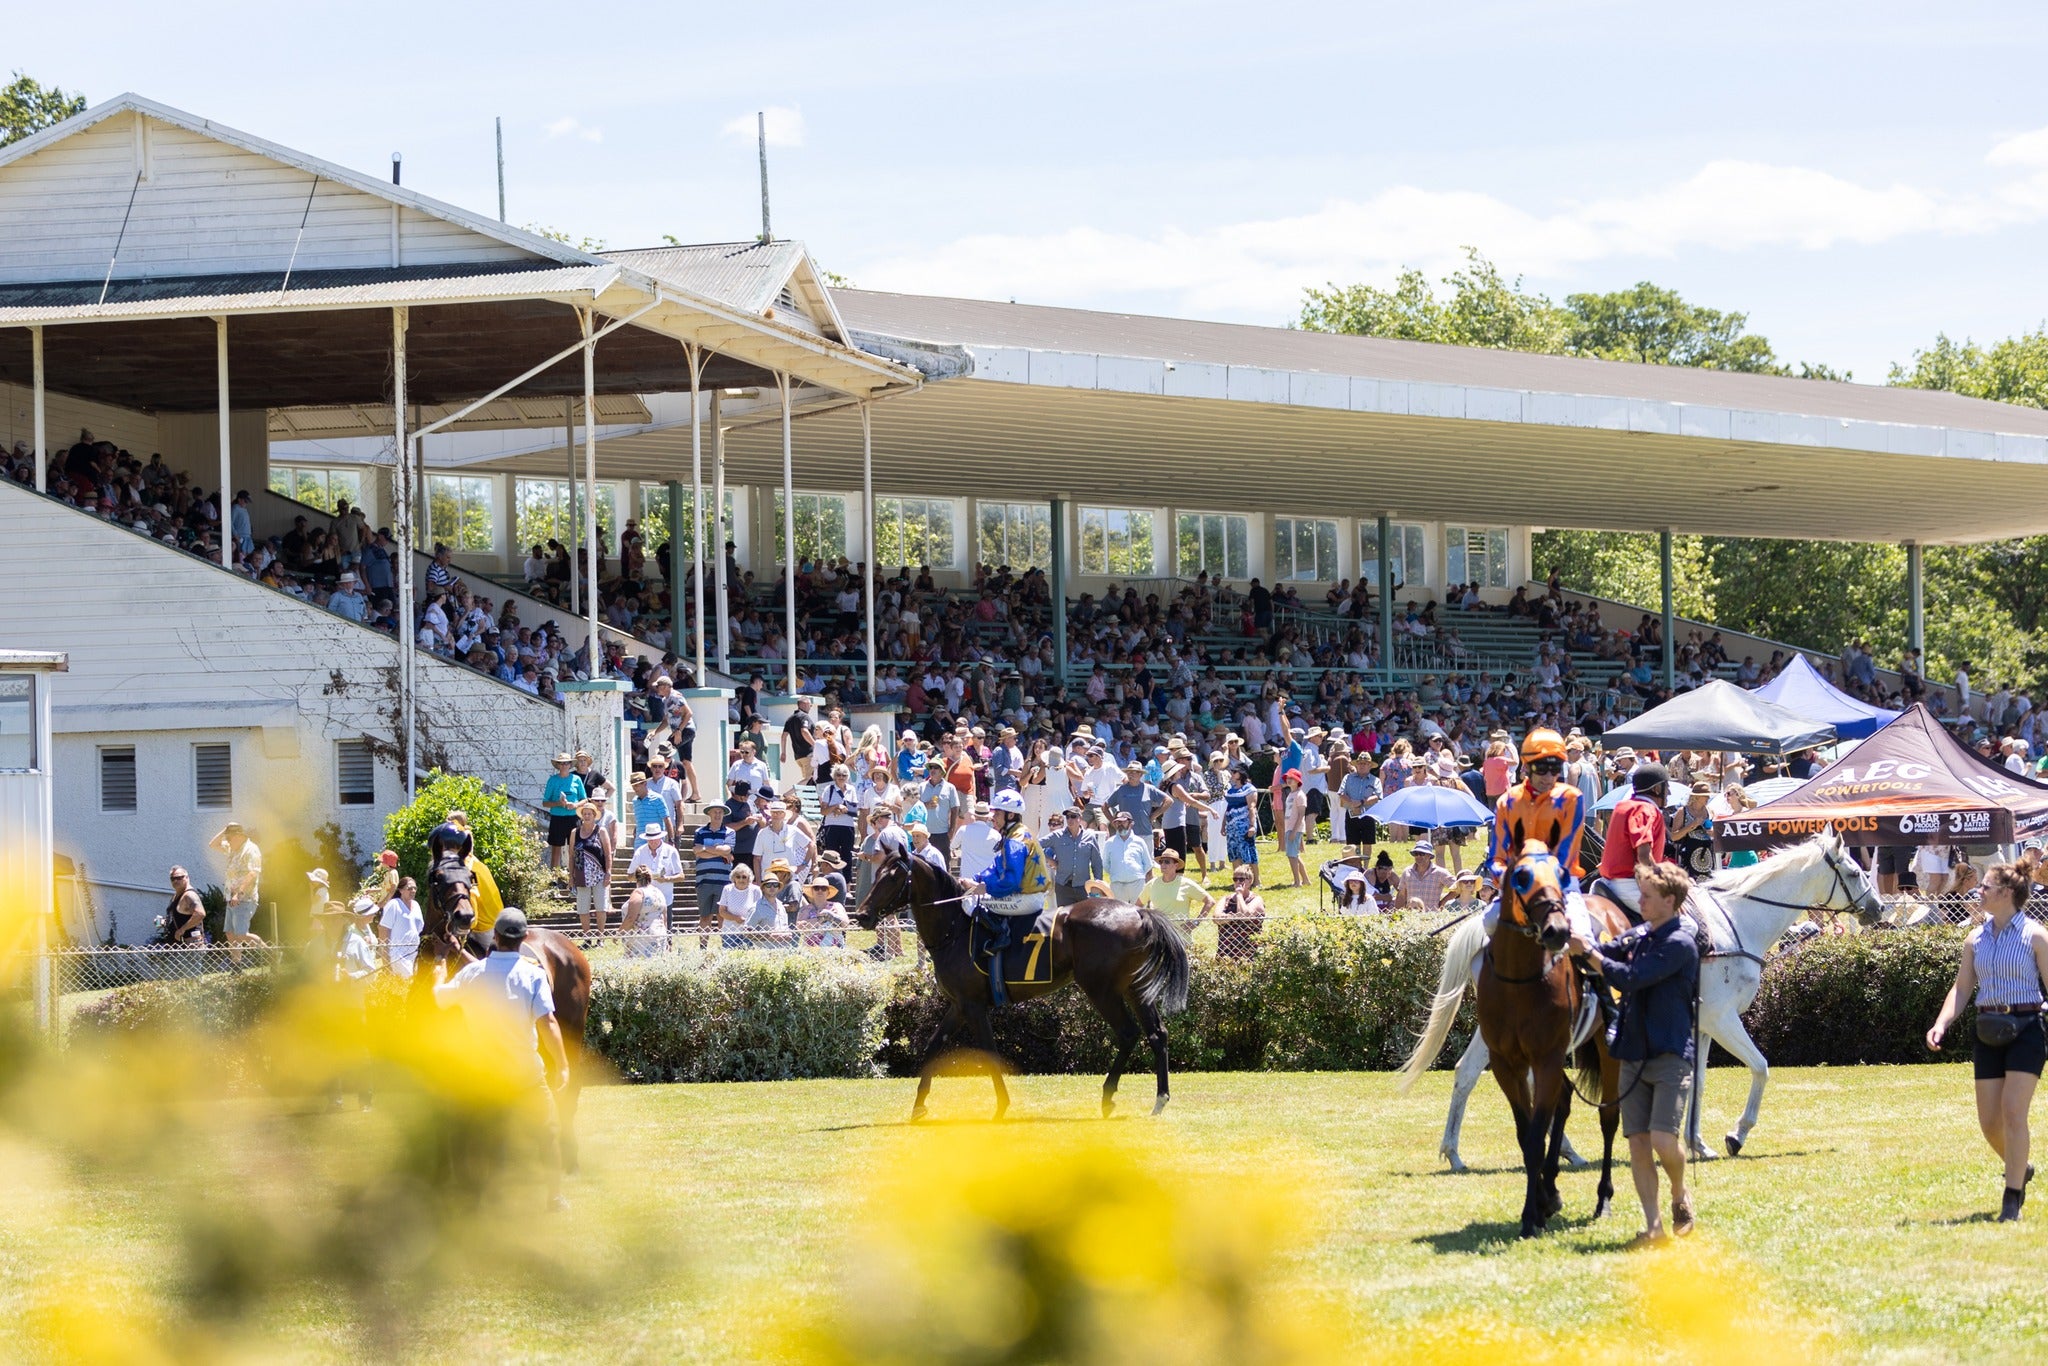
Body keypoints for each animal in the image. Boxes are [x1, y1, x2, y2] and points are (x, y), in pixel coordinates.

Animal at [419, 856, 598, 1179]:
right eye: (436, 878)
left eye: (470, 878)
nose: (463, 916)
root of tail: (568, 945)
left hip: (569, 1033)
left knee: (567, 1089)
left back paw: (567, 1158)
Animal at [851, 856, 1196, 1122]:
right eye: (877, 874)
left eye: (893, 878)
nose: (862, 915)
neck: (956, 929)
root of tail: (1137, 911)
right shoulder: (959, 1004)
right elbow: (933, 1046)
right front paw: (919, 1106)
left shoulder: (973, 1006)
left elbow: (989, 1052)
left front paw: (1002, 1106)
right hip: (1136, 989)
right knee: (1157, 1034)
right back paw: (1160, 1099)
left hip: (1101, 990)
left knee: (1127, 1033)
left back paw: (1108, 1097)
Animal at [1417, 827, 1875, 1171]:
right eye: (1854, 872)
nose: (1878, 907)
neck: (1734, 921)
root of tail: (1492, 926)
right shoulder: (1723, 1018)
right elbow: (1761, 1067)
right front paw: (1736, 1134)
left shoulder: (1702, 1024)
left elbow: (1698, 1080)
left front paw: (1697, 1142)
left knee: (1468, 1071)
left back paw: (1462, 1152)